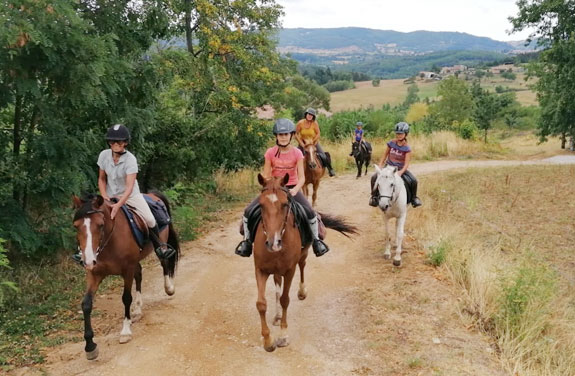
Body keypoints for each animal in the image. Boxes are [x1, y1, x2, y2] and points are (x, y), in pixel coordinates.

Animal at [72, 192, 180, 360]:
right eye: (76, 226)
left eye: (100, 225)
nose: (87, 260)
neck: (110, 241)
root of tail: (153, 195)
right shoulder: (94, 273)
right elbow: (86, 304)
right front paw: (90, 345)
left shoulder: (127, 270)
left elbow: (126, 298)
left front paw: (125, 331)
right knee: (140, 274)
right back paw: (137, 310)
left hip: (160, 244)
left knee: (164, 261)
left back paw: (169, 288)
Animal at [255, 174, 358, 352]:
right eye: (261, 205)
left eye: (285, 204)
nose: (273, 243)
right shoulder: (260, 269)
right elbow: (261, 303)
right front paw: (268, 341)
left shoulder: (289, 270)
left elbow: (285, 299)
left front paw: (283, 337)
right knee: (277, 283)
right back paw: (277, 315)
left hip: (303, 254)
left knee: (302, 266)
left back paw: (302, 292)